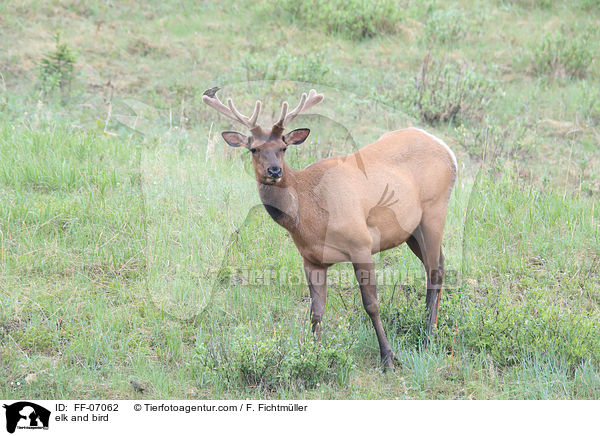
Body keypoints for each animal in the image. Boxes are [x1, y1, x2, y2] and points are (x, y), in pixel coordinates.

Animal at [204, 88, 458, 368]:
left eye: (283, 147)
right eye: (254, 149)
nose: (274, 170)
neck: (310, 216)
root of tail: (448, 150)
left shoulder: (361, 244)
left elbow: (371, 304)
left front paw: (388, 357)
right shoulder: (311, 259)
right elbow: (316, 312)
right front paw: (315, 356)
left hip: (434, 210)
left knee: (435, 270)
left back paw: (428, 335)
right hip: (410, 230)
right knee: (437, 263)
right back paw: (426, 324)